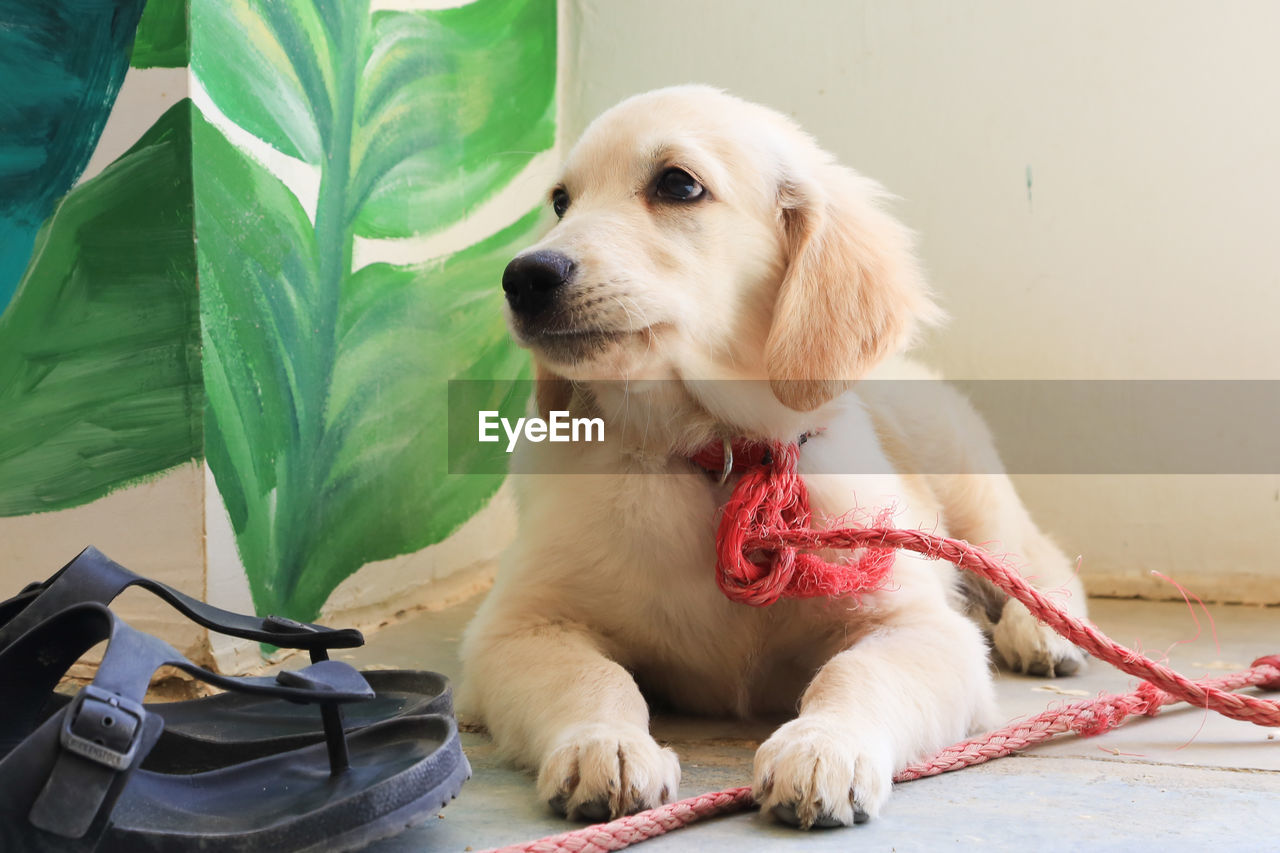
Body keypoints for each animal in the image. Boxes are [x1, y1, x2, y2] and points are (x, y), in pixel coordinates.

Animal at [455, 84, 1085, 824]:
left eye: (677, 184)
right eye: (560, 201)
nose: (523, 277)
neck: (718, 455)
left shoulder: (921, 626)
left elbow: (856, 671)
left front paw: (823, 746)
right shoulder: (518, 624)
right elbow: (593, 676)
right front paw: (602, 743)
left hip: (968, 488)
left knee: (1033, 557)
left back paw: (1046, 630)